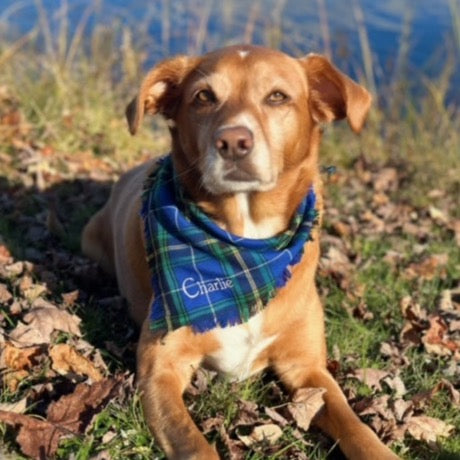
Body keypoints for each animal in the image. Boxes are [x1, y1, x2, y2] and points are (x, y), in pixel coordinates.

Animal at [82, 44, 398, 460]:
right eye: (203, 97)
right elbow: (195, 447)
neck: (244, 245)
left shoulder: (307, 367)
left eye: (277, 96)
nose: (233, 141)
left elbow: (355, 425)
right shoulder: (160, 370)